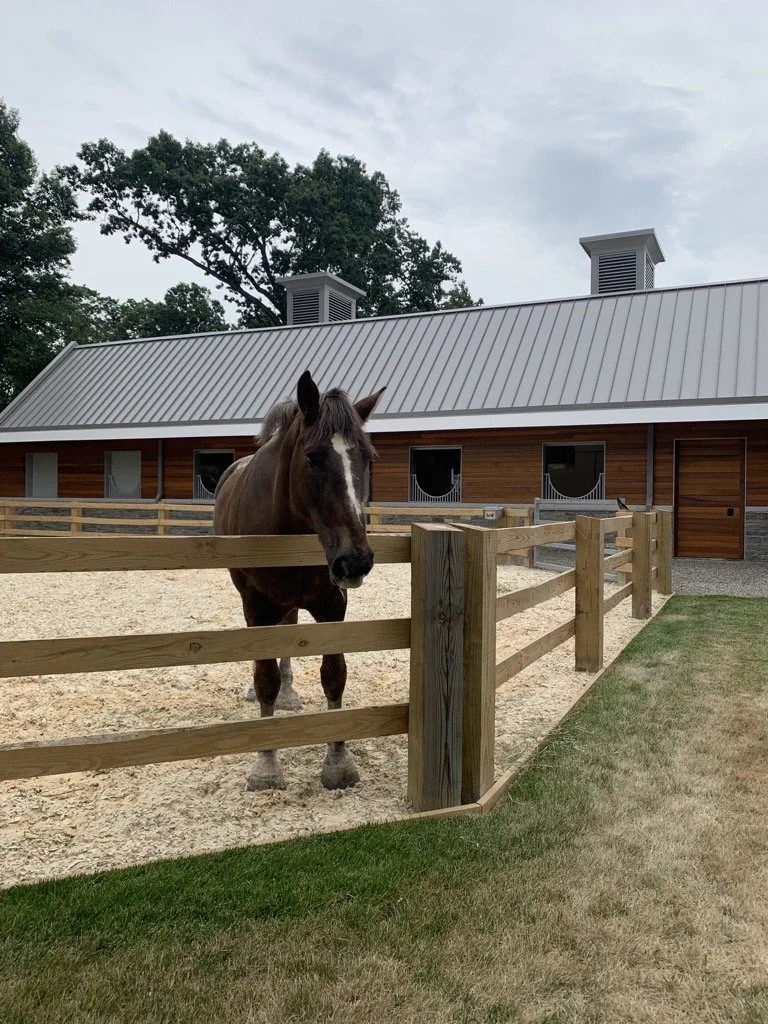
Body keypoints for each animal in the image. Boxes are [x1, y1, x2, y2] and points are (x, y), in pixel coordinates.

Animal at [213, 370, 385, 792]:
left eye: (366, 457)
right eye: (312, 457)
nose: (355, 560)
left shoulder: (333, 604)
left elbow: (334, 675)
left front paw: (338, 762)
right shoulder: (257, 605)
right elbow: (265, 678)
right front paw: (266, 765)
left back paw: (290, 693)